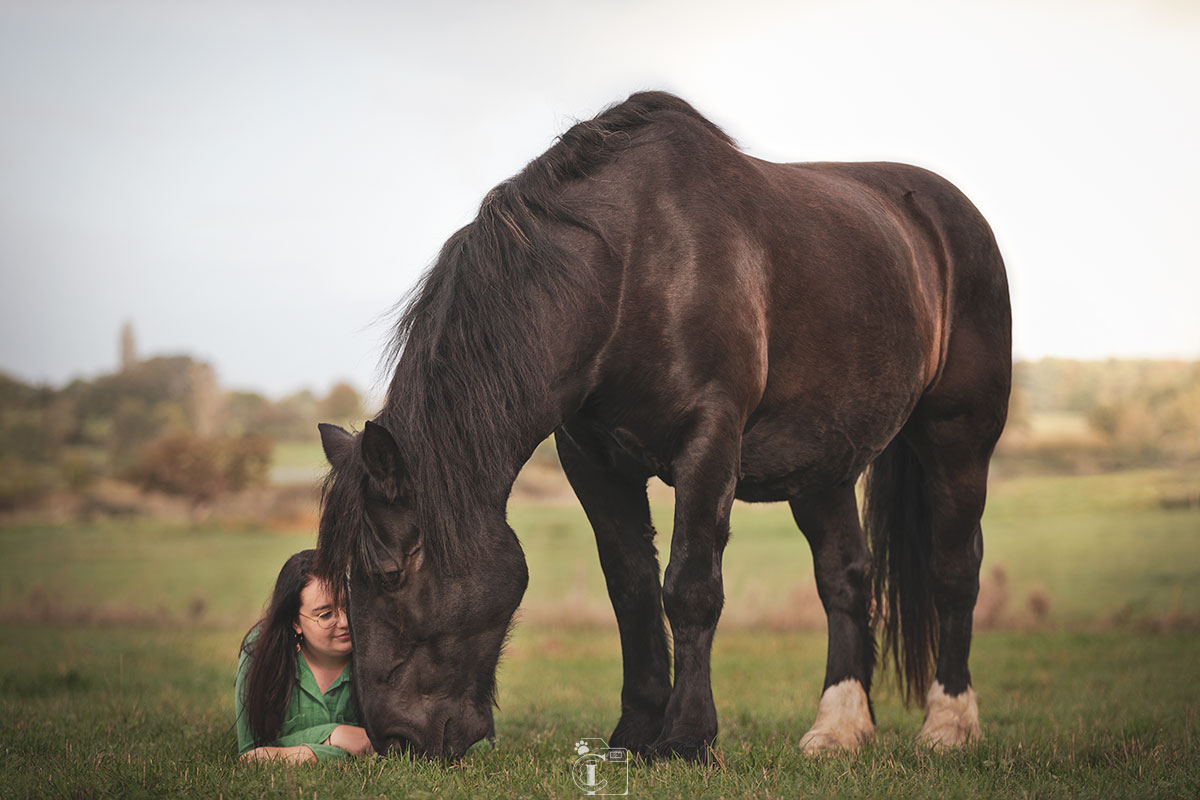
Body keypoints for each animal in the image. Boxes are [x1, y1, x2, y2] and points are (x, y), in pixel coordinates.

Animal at [314, 90, 1008, 762]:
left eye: (388, 575)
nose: (394, 741)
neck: (630, 273)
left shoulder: (708, 444)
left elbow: (689, 589)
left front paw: (686, 738)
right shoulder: (591, 460)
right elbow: (632, 590)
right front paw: (634, 731)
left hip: (959, 440)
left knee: (954, 568)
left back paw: (949, 725)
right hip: (821, 467)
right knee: (846, 578)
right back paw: (838, 729)